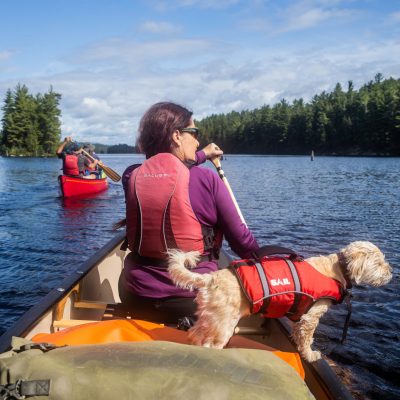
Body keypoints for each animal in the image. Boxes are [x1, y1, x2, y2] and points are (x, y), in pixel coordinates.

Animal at [168, 241, 392, 362]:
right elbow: (307, 339)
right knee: (211, 345)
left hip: (209, 318)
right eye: (379, 262)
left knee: (194, 334)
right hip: (223, 326)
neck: (336, 270)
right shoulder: (311, 316)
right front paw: (310, 355)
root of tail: (211, 278)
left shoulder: (300, 315)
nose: (391, 272)